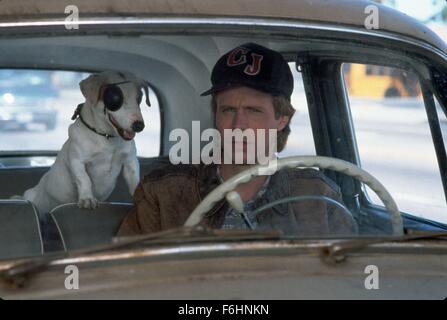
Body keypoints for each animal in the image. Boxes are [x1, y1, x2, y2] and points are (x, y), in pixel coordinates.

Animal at [21, 71, 151, 214]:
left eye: (139, 99)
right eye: (115, 99)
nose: (139, 126)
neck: (106, 137)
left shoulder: (130, 162)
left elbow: (134, 180)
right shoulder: (77, 161)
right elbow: (84, 179)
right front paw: (87, 199)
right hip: (30, 196)